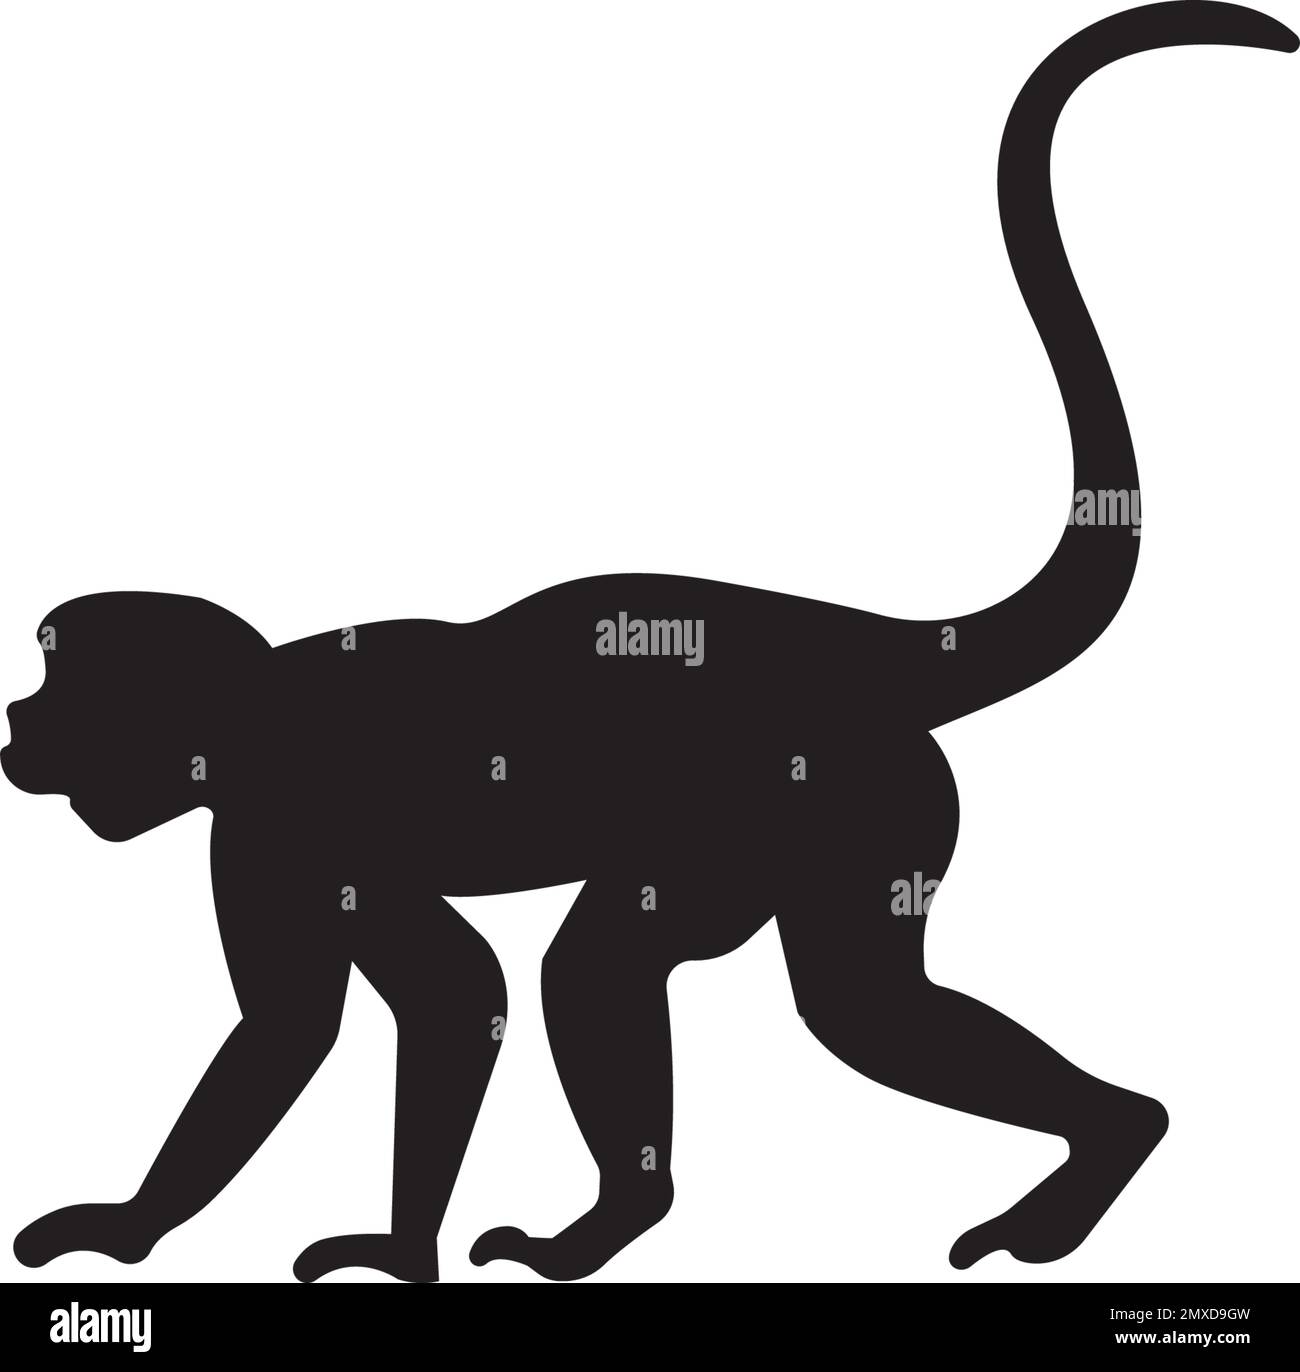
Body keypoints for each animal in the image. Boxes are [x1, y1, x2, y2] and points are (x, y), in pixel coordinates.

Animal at [3, 2, 1295, 1284]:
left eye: (56, 685)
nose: (15, 727)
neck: (249, 713)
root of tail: (853, 646)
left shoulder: (284, 822)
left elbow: (393, 1008)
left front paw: (341, 1241)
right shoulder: (278, 839)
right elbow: (368, 1008)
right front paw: (204, 1229)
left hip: (835, 796)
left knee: (772, 993)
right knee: (770, 983)